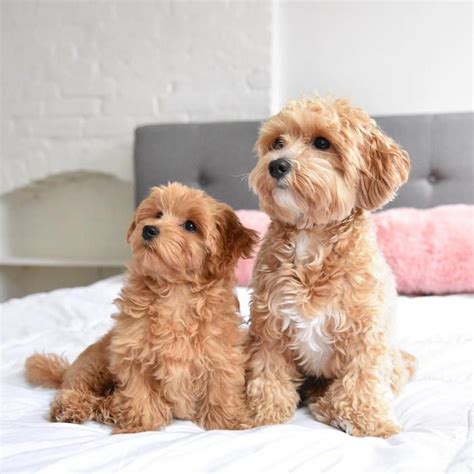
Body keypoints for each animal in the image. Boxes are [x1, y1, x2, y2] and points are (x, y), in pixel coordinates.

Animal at [25, 182, 256, 434]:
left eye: (191, 225)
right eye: (158, 214)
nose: (148, 229)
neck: (175, 293)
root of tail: (66, 371)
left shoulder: (220, 356)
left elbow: (221, 392)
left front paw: (230, 423)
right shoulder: (133, 354)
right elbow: (140, 396)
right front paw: (140, 426)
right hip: (94, 362)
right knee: (74, 388)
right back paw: (73, 408)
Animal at [246, 95, 416, 436]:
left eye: (322, 143)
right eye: (277, 142)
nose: (276, 164)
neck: (311, 236)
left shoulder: (366, 332)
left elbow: (364, 377)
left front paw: (370, 422)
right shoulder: (268, 327)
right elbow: (268, 372)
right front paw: (264, 413)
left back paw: (328, 406)